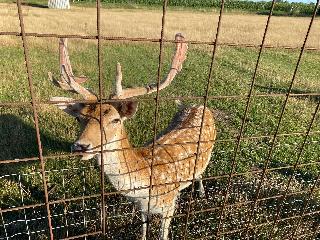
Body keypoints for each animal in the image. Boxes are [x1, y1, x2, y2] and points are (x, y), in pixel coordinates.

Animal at [48, 34, 216, 240]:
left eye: (115, 120)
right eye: (80, 117)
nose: (81, 146)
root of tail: (199, 106)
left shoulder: (169, 203)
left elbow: (163, 235)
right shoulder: (141, 207)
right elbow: (143, 228)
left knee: (201, 173)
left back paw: (201, 193)